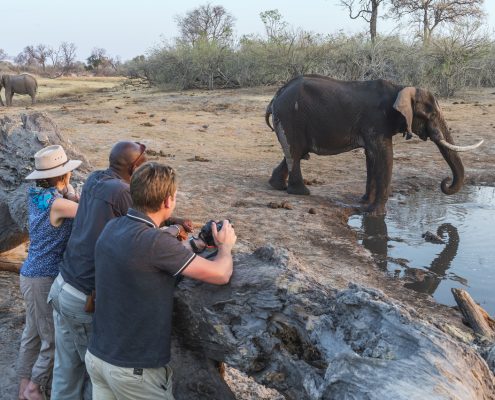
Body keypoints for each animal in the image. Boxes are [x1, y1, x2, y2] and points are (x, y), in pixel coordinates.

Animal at [268, 73, 484, 214]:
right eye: (430, 115)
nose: (445, 182)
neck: (400, 88)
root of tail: (276, 95)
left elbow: (371, 157)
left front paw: (365, 202)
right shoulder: (377, 121)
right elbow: (384, 156)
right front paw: (375, 213)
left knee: (295, 153)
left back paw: (277, 186)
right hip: (291, 116)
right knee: (295, 151)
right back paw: (301, 192)